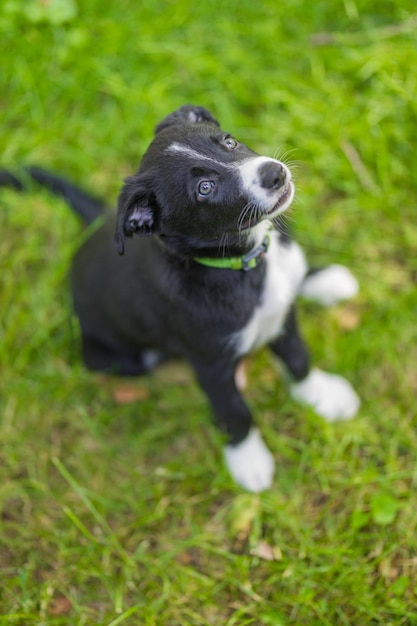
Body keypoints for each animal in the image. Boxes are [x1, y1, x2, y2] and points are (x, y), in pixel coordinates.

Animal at [0, 105, 360, 490]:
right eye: (205, 188)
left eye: (228, 141)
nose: (274, 173)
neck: (240, 265)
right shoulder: (209, 363)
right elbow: (234, 411)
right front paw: (248, 460)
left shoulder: (282, 316)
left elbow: (297, 358)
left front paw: (321, 395)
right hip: (115, 357)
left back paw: (324, 281)